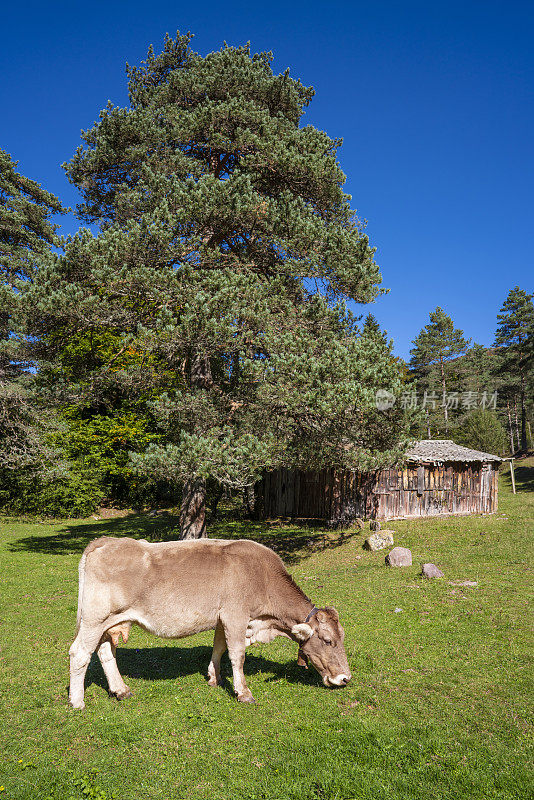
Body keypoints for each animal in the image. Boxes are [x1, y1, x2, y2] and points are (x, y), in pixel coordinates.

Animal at [69, 536, 354, 708]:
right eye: (327, 640)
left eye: (341, 637)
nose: (345, 678)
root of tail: (105, 541)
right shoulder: (236, 616)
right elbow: (238, 655)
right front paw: (243, 692)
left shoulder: (222, 618)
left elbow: (219, 648)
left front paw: (213, 677)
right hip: (94, 620)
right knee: (79, 653)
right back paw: (77, 701)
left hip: (108, 623)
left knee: (105, 652)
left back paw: (120, 689)